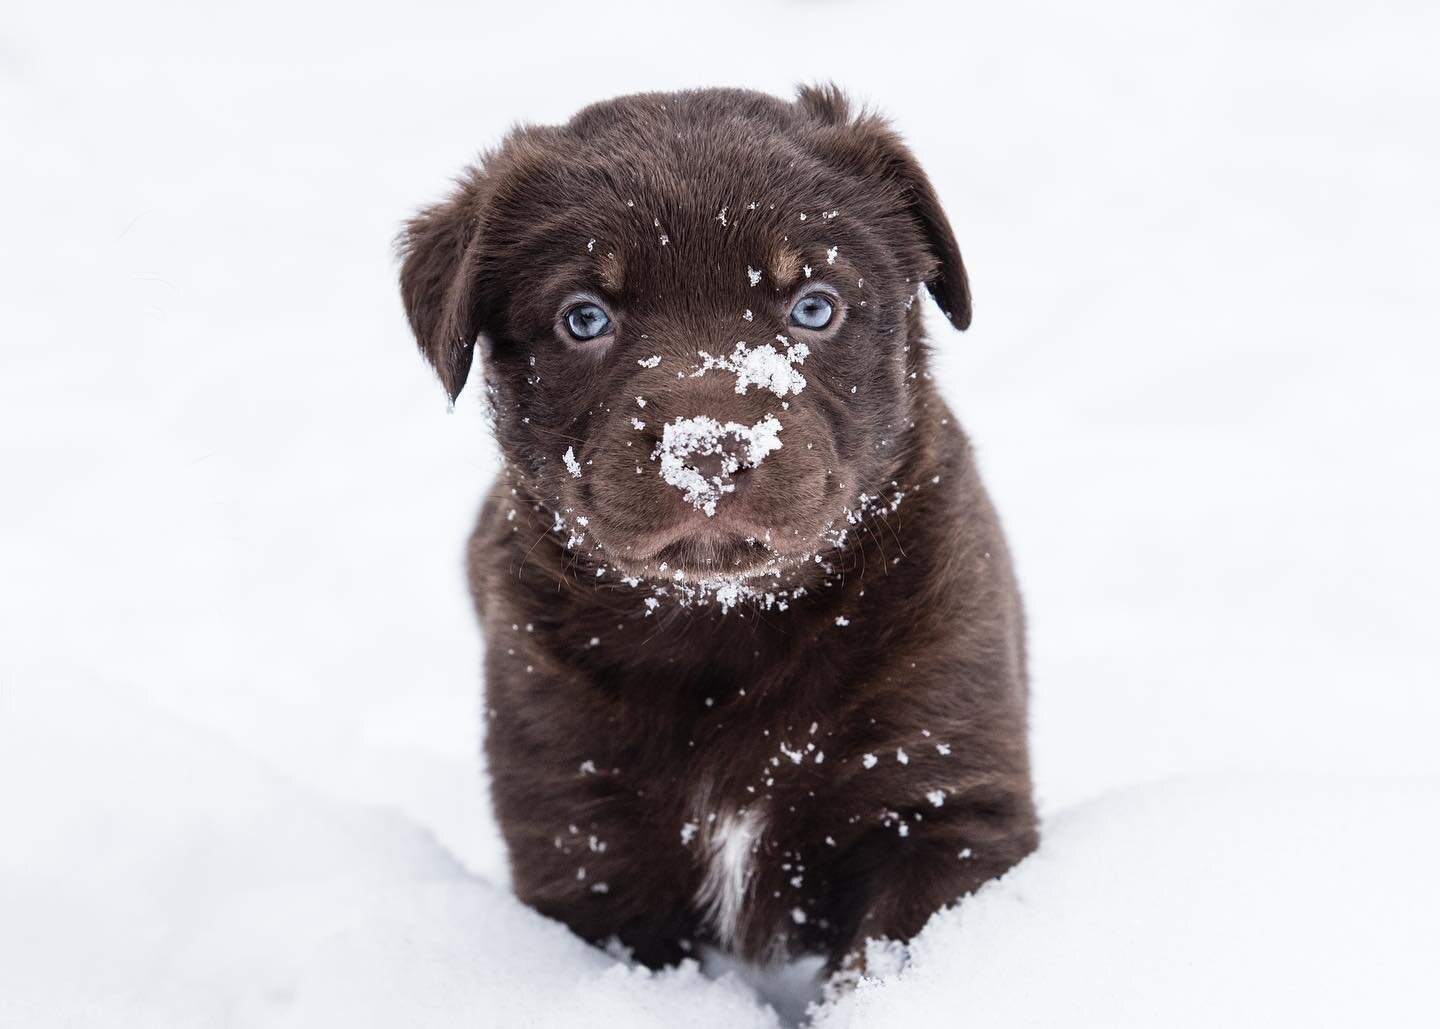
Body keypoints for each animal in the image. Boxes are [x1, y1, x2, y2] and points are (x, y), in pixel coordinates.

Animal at [403, 86, 1036, 972]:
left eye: (814, 306)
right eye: (584, 319)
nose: (708, 446)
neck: (726, 626)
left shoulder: (941, 792)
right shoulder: (581, 828)